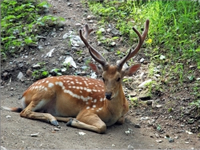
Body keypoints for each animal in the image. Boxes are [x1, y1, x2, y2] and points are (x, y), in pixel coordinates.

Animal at [1, 19, 148, 134]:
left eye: (119, 78)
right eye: (103, 77)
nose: (107, 95)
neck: (113, 111)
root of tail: (25, 93)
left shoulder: (122, 115)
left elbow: (121, 120)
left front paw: (71, 120)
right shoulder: (87, 111)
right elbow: (103, 126)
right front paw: (73, 121)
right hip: (45, 91)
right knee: (25, 112)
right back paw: (56, 120)